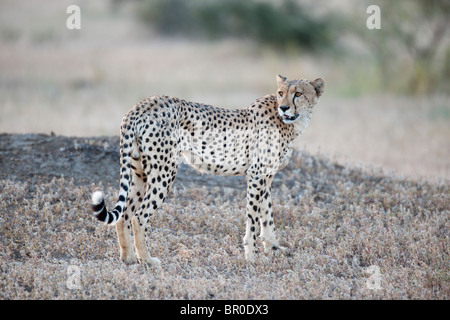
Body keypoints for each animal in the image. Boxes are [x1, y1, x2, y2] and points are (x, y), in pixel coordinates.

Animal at [91, 75, 324, 264]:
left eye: (298, 94)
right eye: (281, 93)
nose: (283, 108)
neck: (291, 123)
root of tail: (143, 103)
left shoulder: (266, 175)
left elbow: (267, 215)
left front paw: (274, 248)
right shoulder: (257, 174)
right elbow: (253, 218)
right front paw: (253, 256)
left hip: (139, 172)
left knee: (124, 214)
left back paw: (128, 258)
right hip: (164, 171)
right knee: (139, 216)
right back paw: (147, 260)